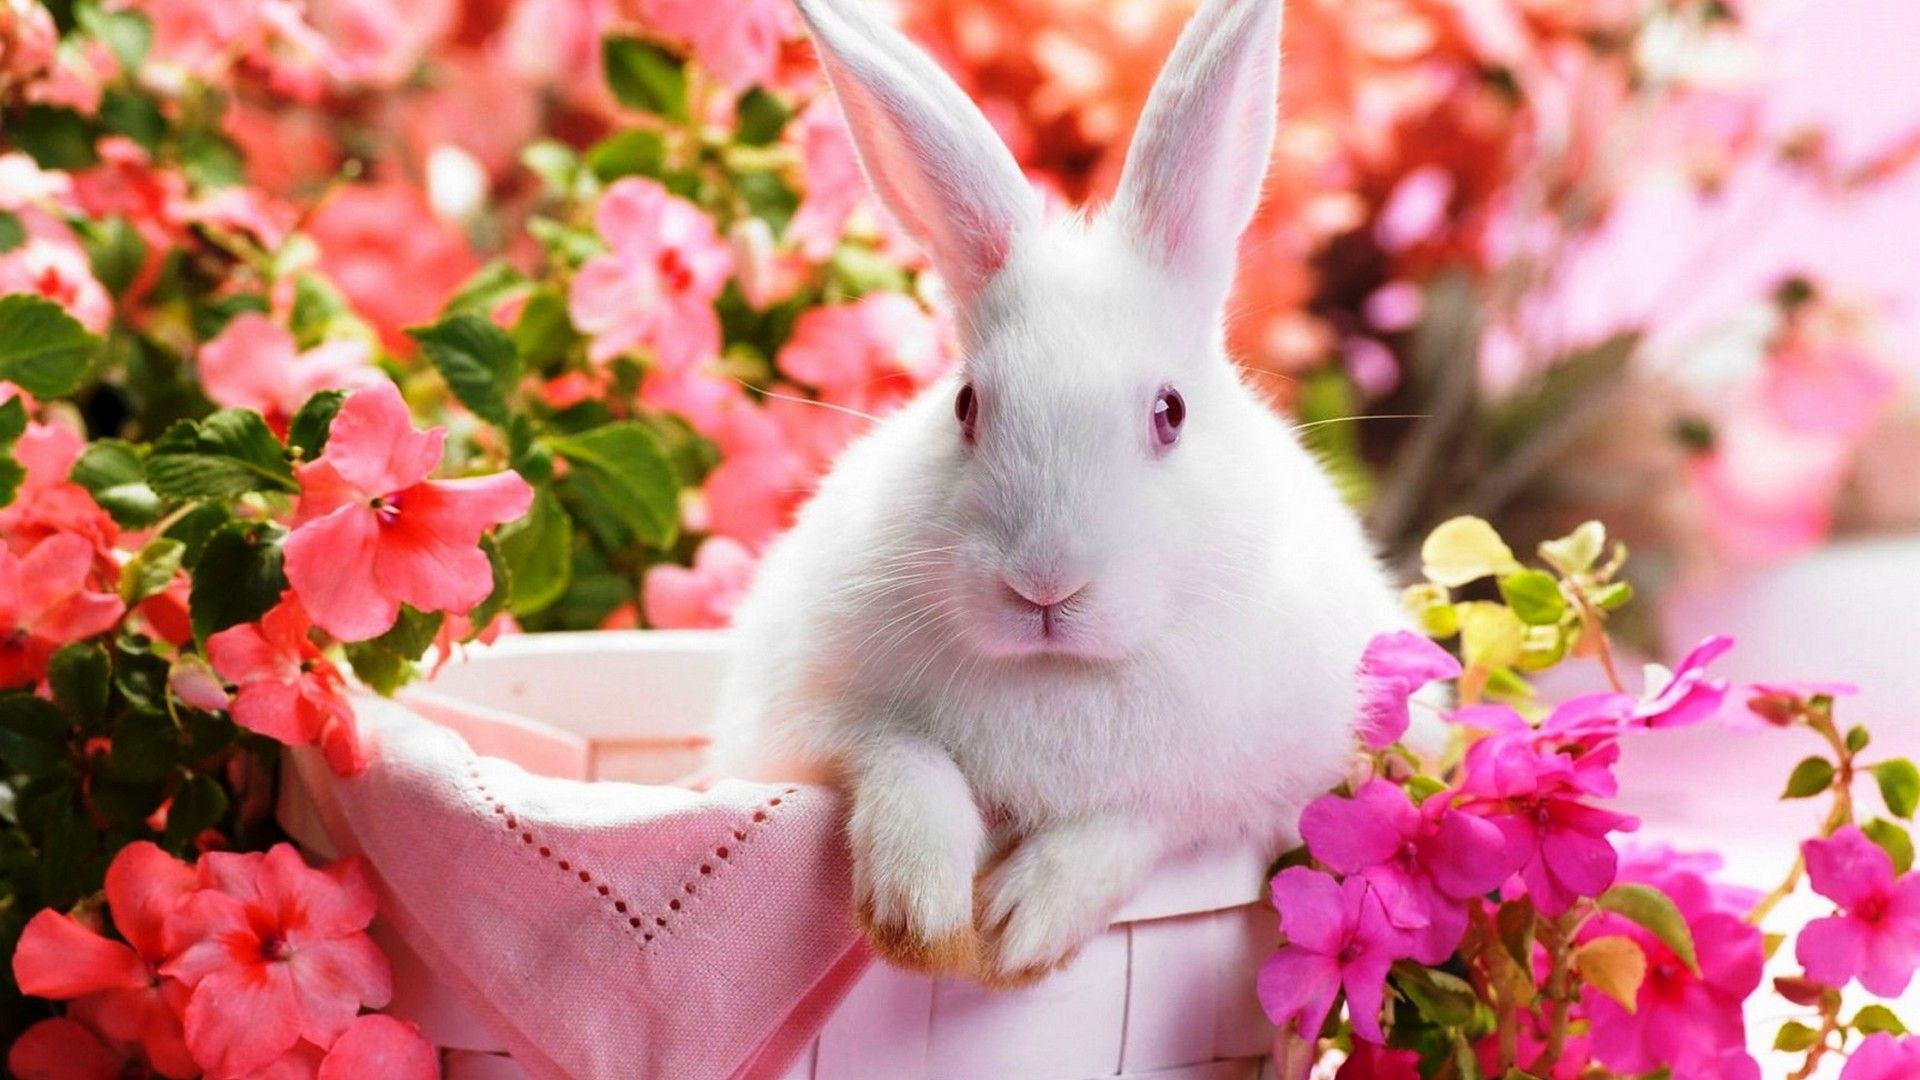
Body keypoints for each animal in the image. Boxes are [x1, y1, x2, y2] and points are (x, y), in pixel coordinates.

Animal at [711, 0, 1414, 985]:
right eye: (966, 405)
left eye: (1170, 413)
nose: (1044, 585)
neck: (1057, 672)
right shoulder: (806, 720)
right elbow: (902, 756)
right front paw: (920, 916)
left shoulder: (1258, 782)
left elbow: (1134, 820)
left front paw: (1019, 926)